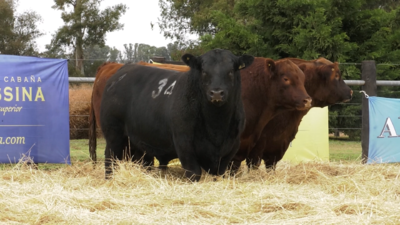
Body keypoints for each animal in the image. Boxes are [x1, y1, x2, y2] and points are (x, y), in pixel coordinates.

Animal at [99, 49, 253, 181]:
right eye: (204, 71)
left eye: (231, 71)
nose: (216, 93)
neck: (216, 126)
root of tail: (123, 70)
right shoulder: (184, 144)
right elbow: (194, 173)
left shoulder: (231, 147)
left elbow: (219, 174)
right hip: (113, 133)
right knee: (110, 157)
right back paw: (110, 179)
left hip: (137, 138)